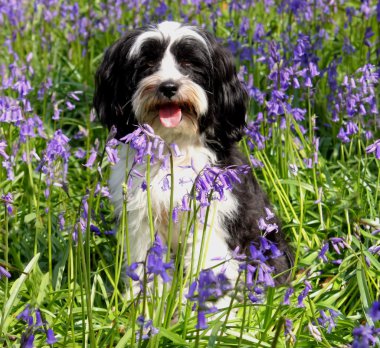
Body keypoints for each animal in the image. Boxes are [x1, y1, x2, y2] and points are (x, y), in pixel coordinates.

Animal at [93, 21, 292, 288]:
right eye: (147, 63)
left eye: (189, 63)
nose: (168, 86)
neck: (172, 146)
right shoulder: (141, 219)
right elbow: (146, 265)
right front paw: (145, 298)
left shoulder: (212, 216)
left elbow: (209, 263)